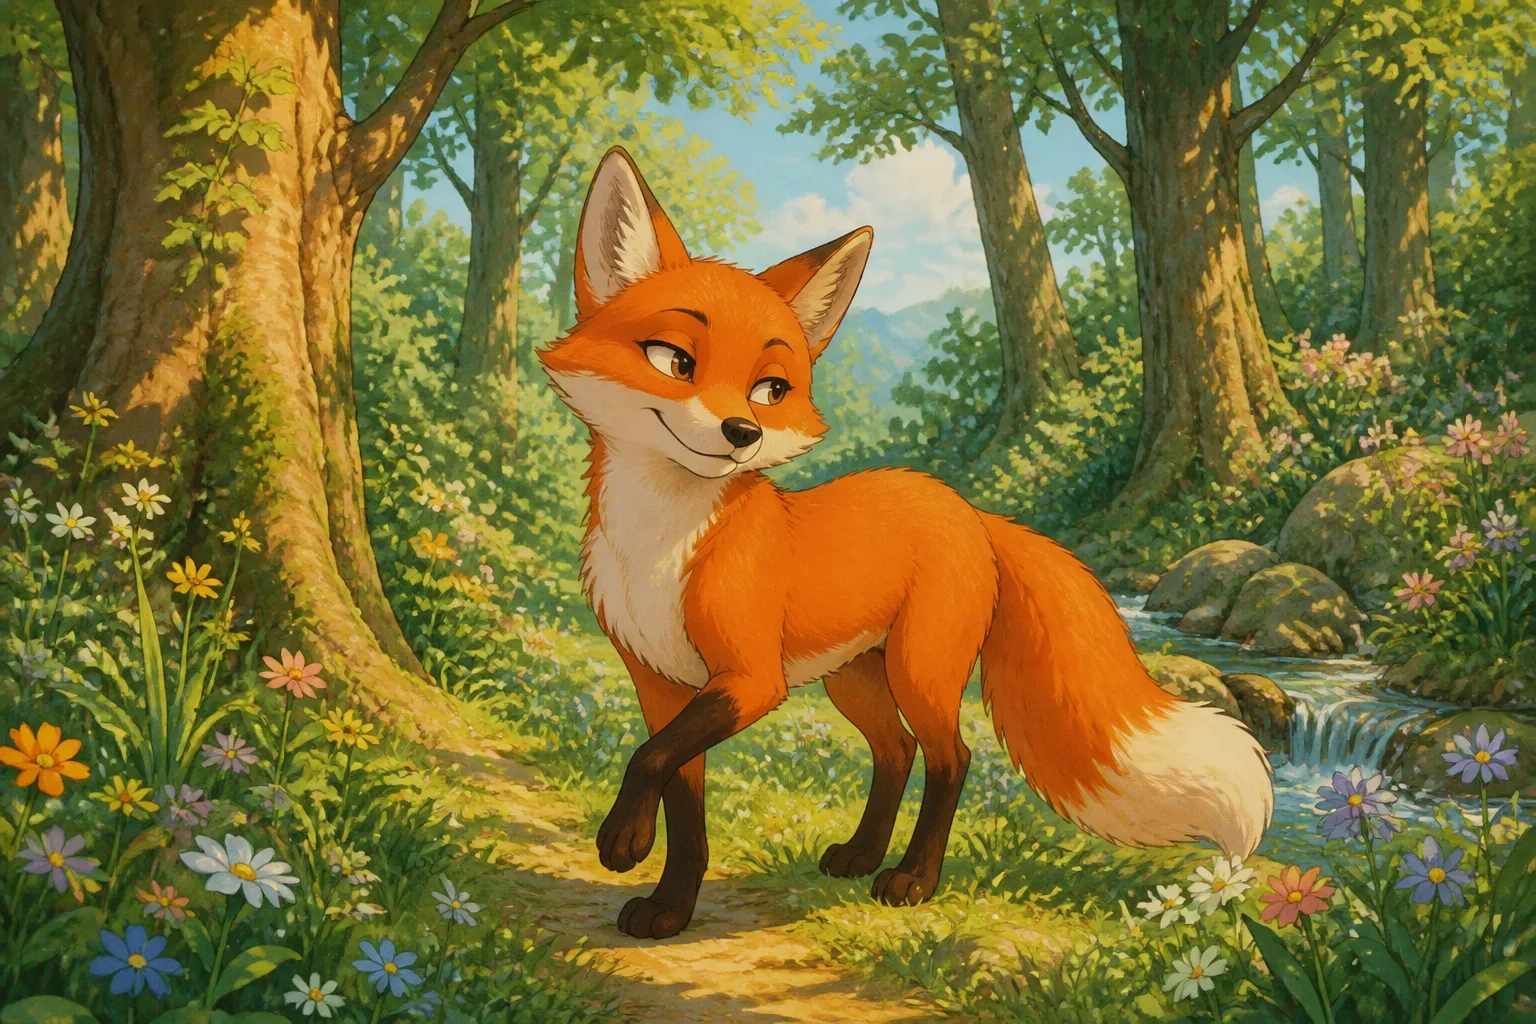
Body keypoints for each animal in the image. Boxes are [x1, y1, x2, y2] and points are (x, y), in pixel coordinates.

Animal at [537, 146, 1274, 940]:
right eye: (674, 361)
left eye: (771, 389)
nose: (743, 433)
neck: (661, 545)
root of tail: (967, 509)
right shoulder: (662, 684)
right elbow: (681, 794)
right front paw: (670, 903)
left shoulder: (749, 680)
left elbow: (649, 760)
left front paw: (622, 841)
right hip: (856, 678)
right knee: (896, 752)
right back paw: (861, 855)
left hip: (919, 670)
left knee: (952, 758)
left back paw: (913, 880)